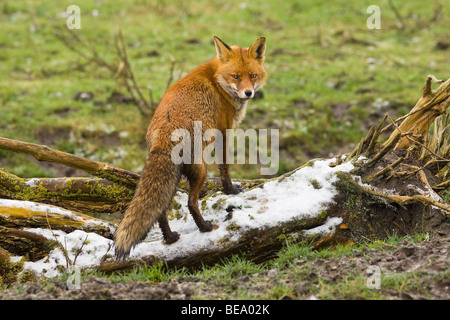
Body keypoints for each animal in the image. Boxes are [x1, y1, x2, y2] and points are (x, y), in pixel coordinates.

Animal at [113, 36, 268, 258]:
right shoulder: (224, 133)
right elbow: (225, 169)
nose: (248, 92)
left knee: (160, 211)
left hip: (173, 178)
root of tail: (164, 132)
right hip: (201, 171)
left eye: (253, 75)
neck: (218, 81)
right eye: (235, 76)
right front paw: (230, 190)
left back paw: (170, 238)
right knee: (190, 203)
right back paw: (204, 227)